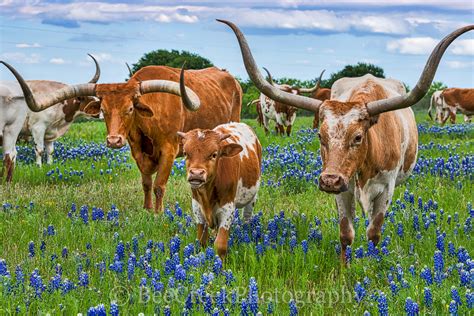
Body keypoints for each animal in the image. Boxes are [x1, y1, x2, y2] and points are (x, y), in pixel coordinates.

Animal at [0, 61, 241, 212]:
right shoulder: (137, 152)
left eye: (130, 109)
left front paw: (159, 213)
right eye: (103, 110)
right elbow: (146, 183)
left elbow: (159, 185)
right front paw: (147, 210)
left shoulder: (169, 150)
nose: (114, 140)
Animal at [177, 122, 262, 258]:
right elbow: (201, 241)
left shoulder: (227, 209)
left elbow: (220, 245)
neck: (207, 194)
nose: (196, 173)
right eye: (185, 153)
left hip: (252, 197)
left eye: (214, 154)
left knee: (247, 217)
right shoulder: (197, 208)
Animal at [219, 18, 474, 262]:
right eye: (320, 136)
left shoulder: (387, 187)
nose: (329, 181)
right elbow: (346, 233)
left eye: (358, 137)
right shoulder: (344, 190)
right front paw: (345, 266)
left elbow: (374, 232)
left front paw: (371, 263)